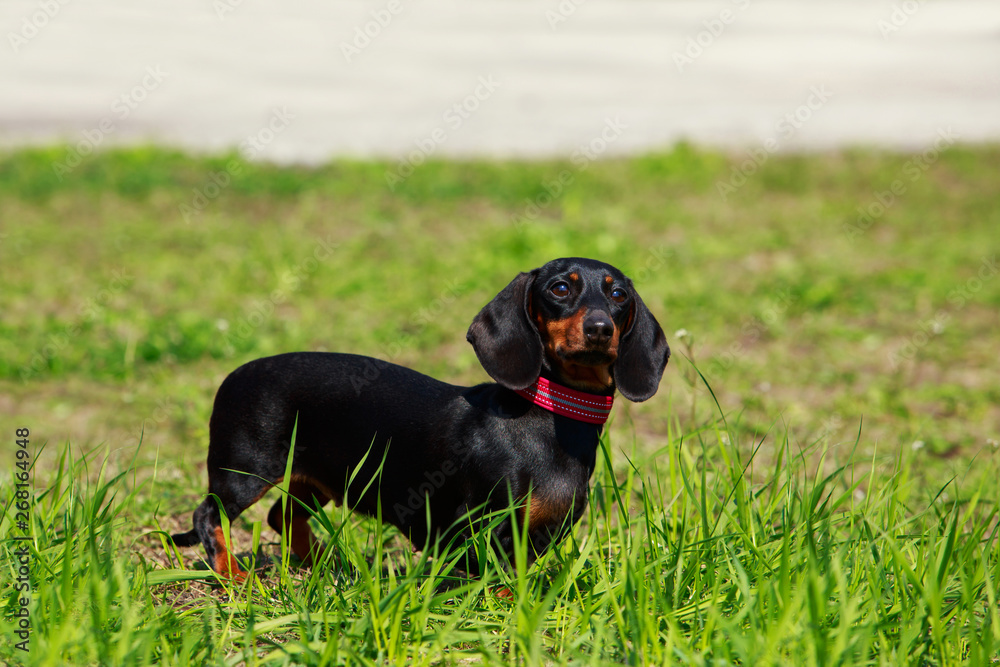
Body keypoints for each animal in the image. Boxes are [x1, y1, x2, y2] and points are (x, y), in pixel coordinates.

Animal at [172, 258, 672, 580]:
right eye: (560, 289)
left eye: (618, 294)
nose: (600, 329)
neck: (549, 417)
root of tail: (234, 374)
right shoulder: (479, 528)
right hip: (245, 471)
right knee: (208, 513)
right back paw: (233, 577)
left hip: (319, 479)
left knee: (283, 514)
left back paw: (324, 564)